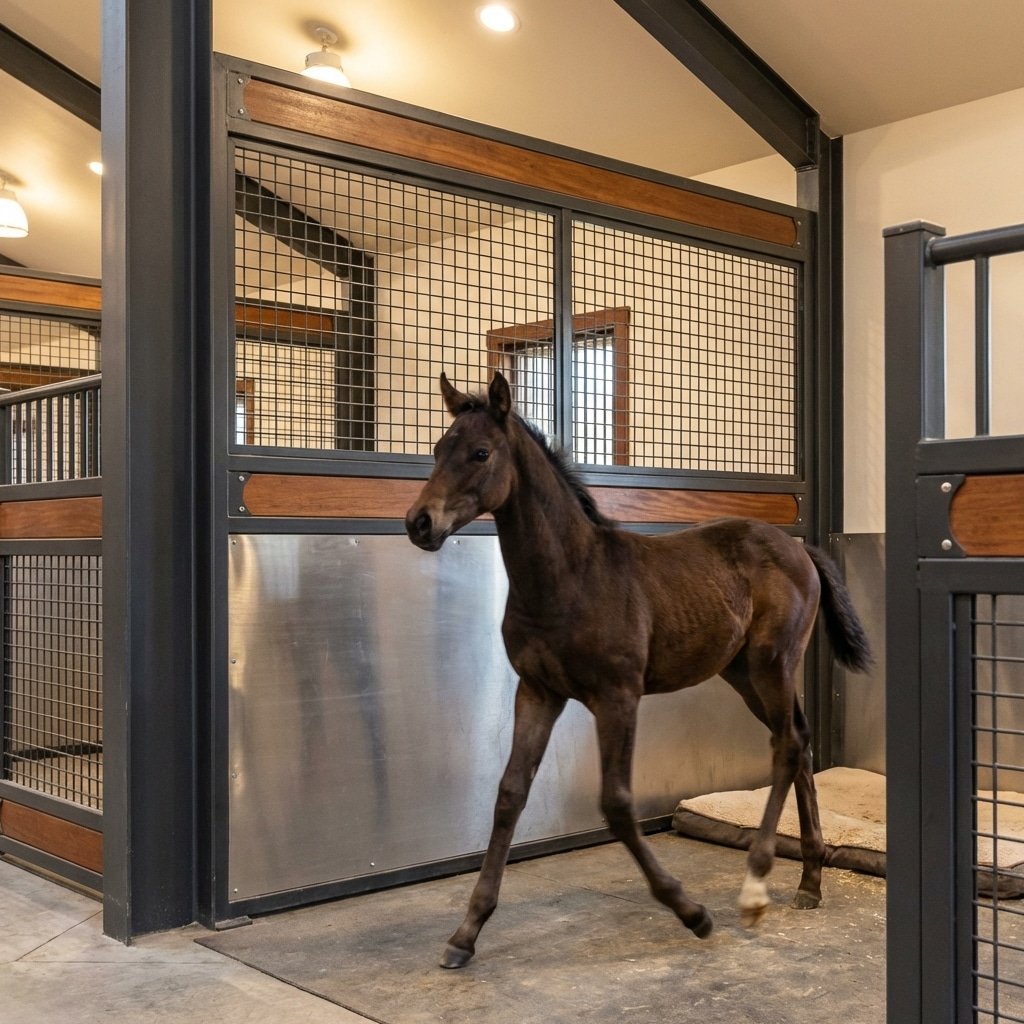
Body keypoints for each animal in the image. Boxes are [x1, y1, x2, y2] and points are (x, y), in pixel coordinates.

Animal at [405, 371, 872, 969]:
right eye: (438, 449)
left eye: (480, 453)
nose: (420, 523)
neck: (570, 577)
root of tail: (801, 550)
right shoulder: (537, 691)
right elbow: (509, 794)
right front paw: (466, 932)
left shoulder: (617, 696)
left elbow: (618, 803)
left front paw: (691, 912)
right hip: (743, 673)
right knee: (800, 742)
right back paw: (809, 881)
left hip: (773, 662)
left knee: (789, 744)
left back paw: (756, 887)